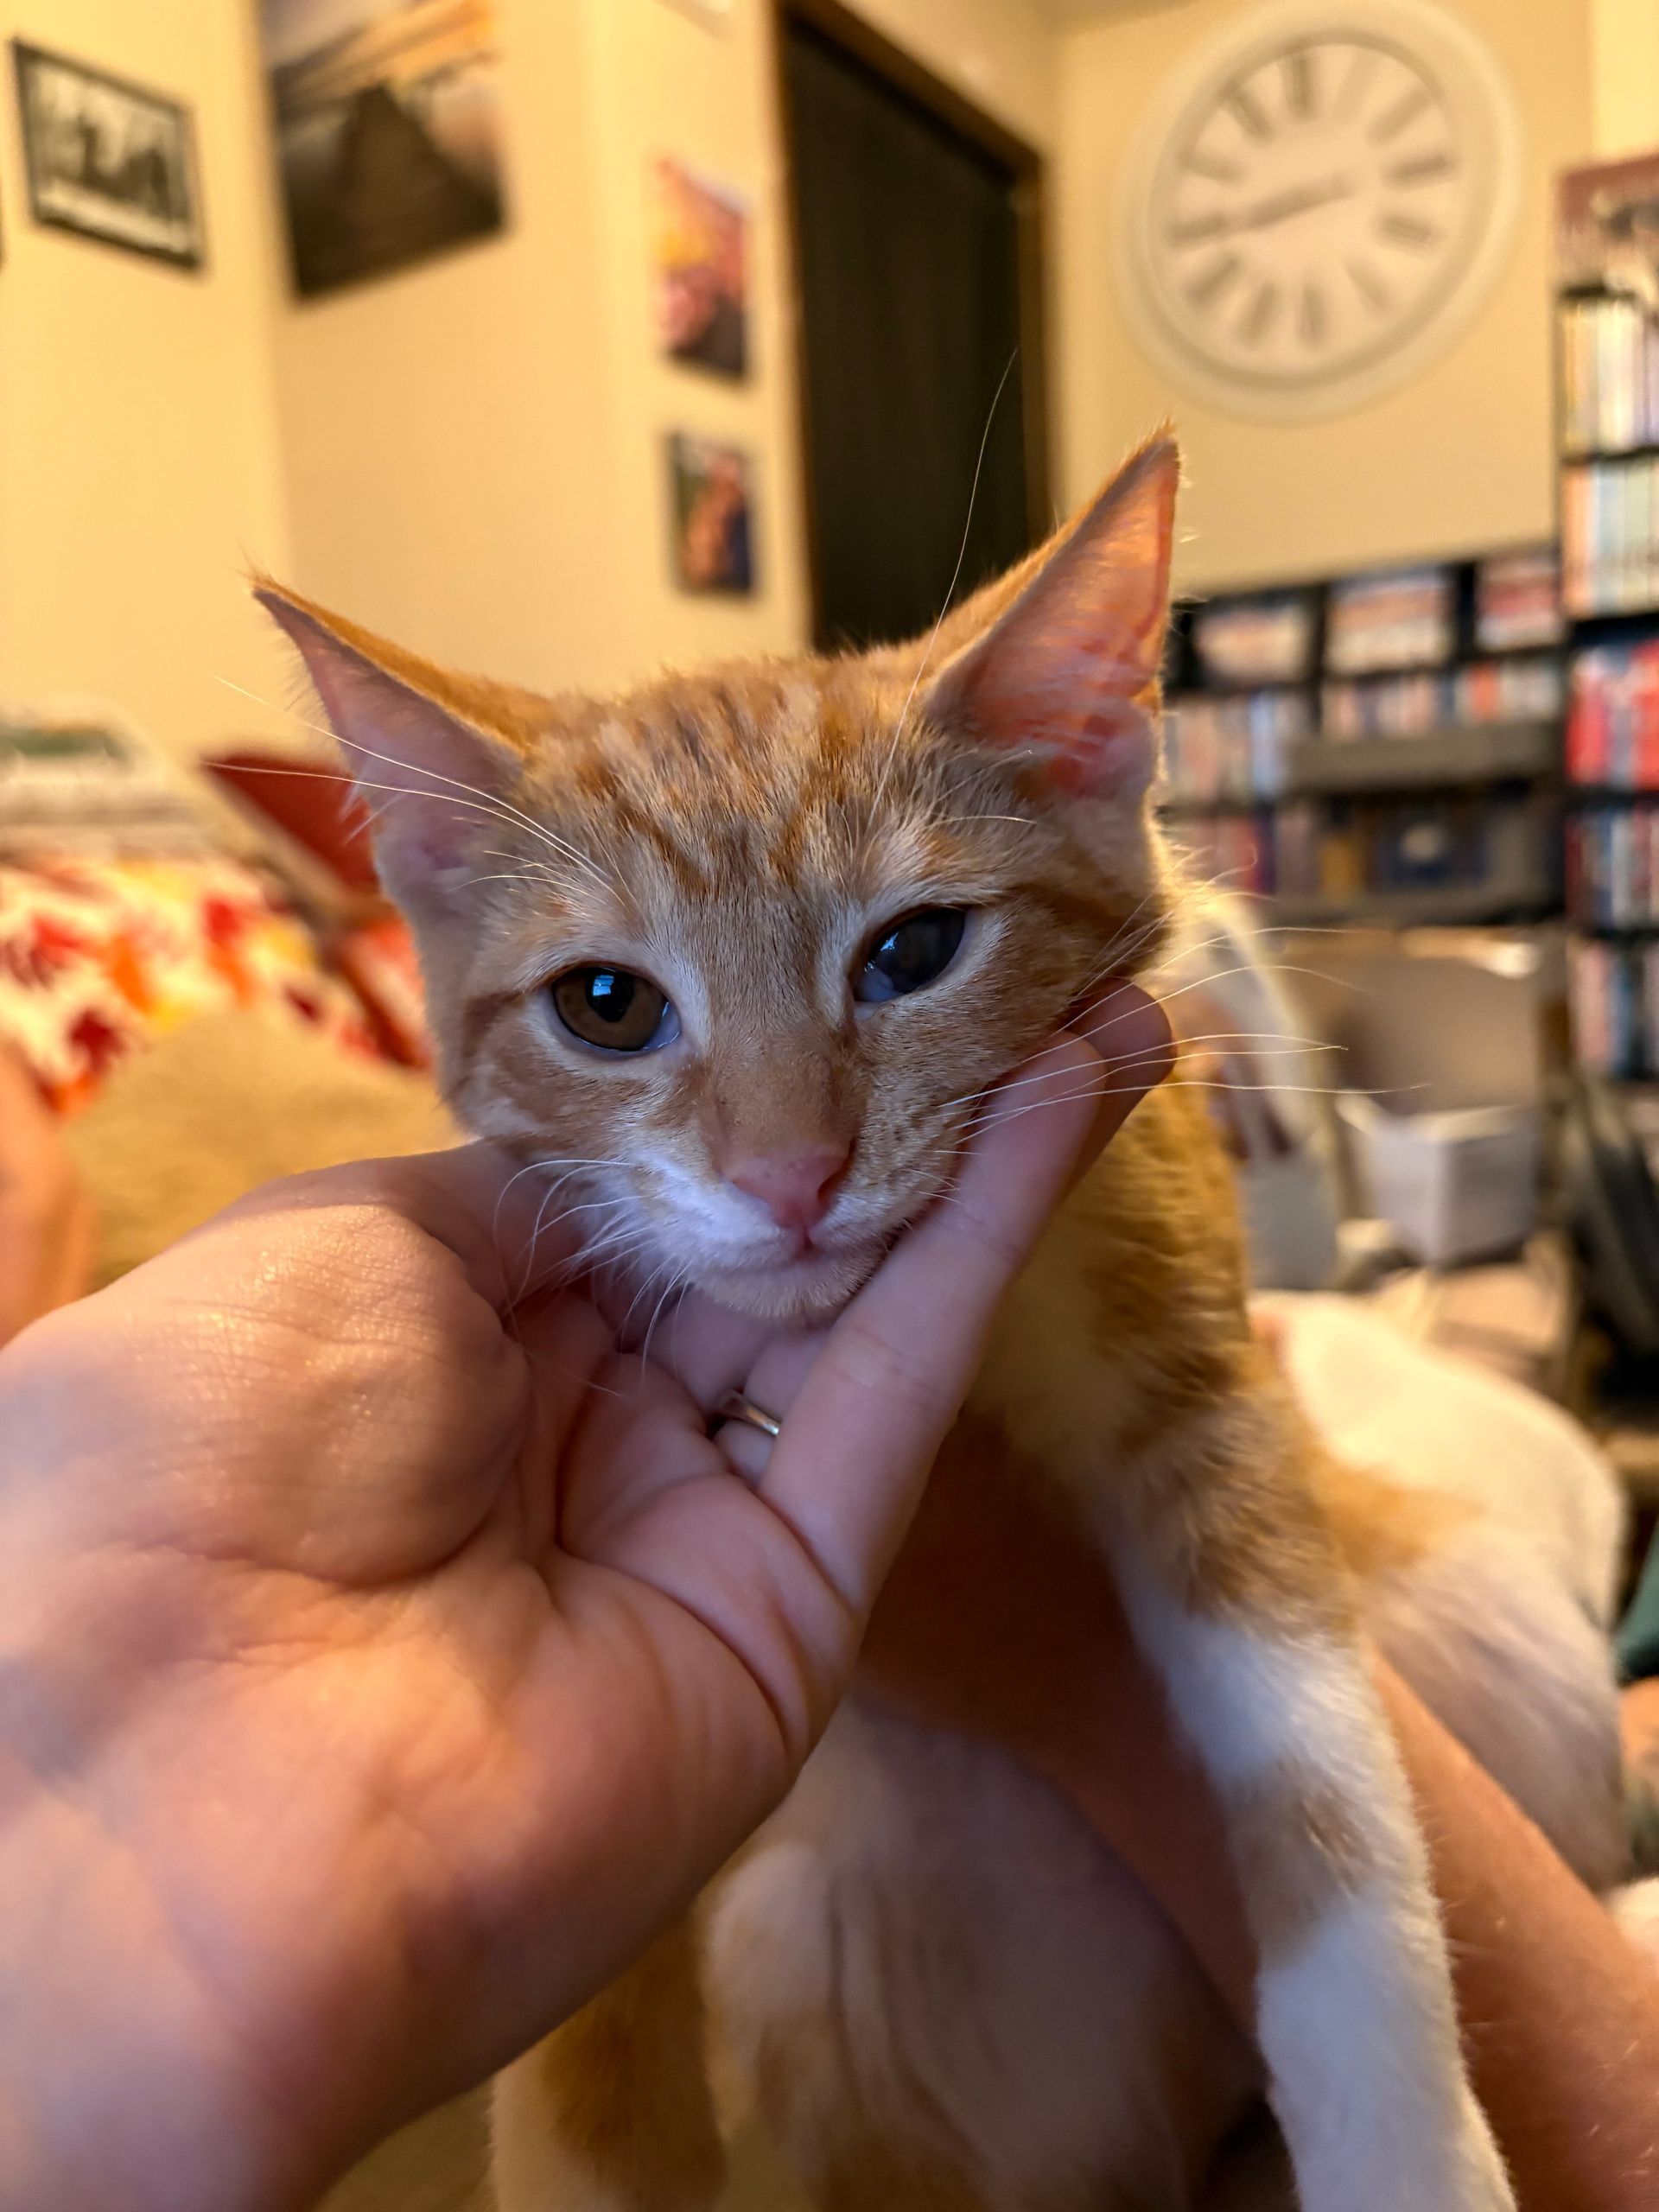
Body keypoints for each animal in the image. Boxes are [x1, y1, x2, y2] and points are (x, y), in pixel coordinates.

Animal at [258, 436, 1615, 2211]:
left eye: (913, 950)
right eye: (605, 1005)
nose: (790, 1175)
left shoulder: (1193, 1360)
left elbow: (1319, 1759)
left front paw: (1401, 2138)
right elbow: (588, 1960)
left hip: (1498, 1629)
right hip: (818, 1958)